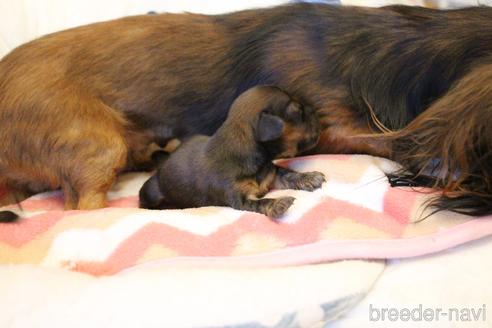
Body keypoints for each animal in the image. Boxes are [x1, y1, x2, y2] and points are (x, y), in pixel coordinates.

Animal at [138, 86, 324, 218]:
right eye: (299, 111)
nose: (316, 111)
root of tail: (162, 163)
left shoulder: (271, 173)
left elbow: (288, 174)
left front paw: (309, 177)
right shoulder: (240, 199)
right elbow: (260, 203)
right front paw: (278, 203)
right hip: (151, 192)